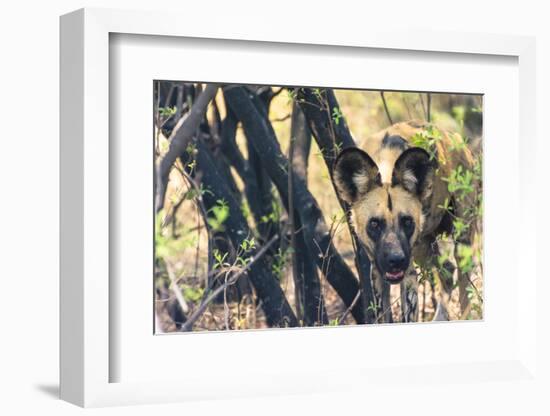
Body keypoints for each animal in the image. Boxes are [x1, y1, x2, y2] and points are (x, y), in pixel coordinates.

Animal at [334, 119, 480, 322]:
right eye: (374, 224)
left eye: (407, 221)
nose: (396, 260)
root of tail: (458, 139)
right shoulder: (378, 271)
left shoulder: (408, 273)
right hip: (423, 248)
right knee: (448, 271)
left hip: (460, 240)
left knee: (463, 283)